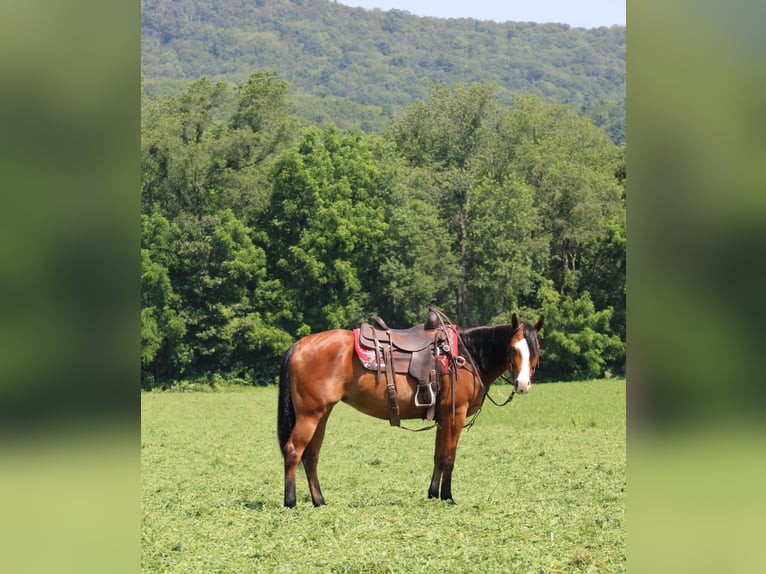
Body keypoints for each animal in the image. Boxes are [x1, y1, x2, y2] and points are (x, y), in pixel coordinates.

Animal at [277, 313, 544, 507]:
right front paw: (448, 496)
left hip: (321, 414)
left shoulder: (442, 417)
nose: (522, 384)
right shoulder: (455, 415)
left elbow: (438, 456)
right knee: (293, 451)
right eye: (512, 349)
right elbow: (449, 457)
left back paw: (319, 501)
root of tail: (299, 345)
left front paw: (433, 493)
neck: (466, 357)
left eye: (536, 349)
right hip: (310, 415)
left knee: (311, 456)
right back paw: (291, 502)